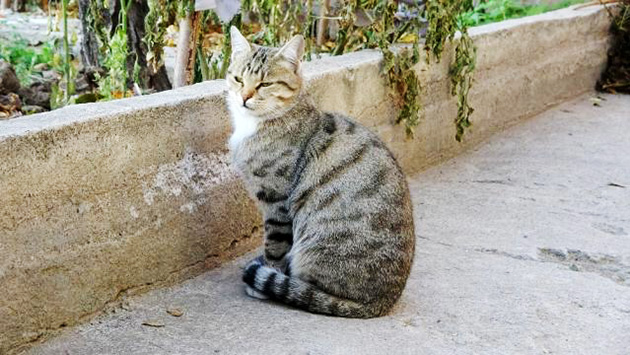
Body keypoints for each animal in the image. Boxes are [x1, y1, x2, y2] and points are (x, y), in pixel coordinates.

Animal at [226, 26, 414, 318]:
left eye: (265, 84)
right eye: (237, 79)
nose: (244, 97)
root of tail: (383, 300)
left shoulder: (277, 201)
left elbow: (275, 245)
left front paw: (266, 276)